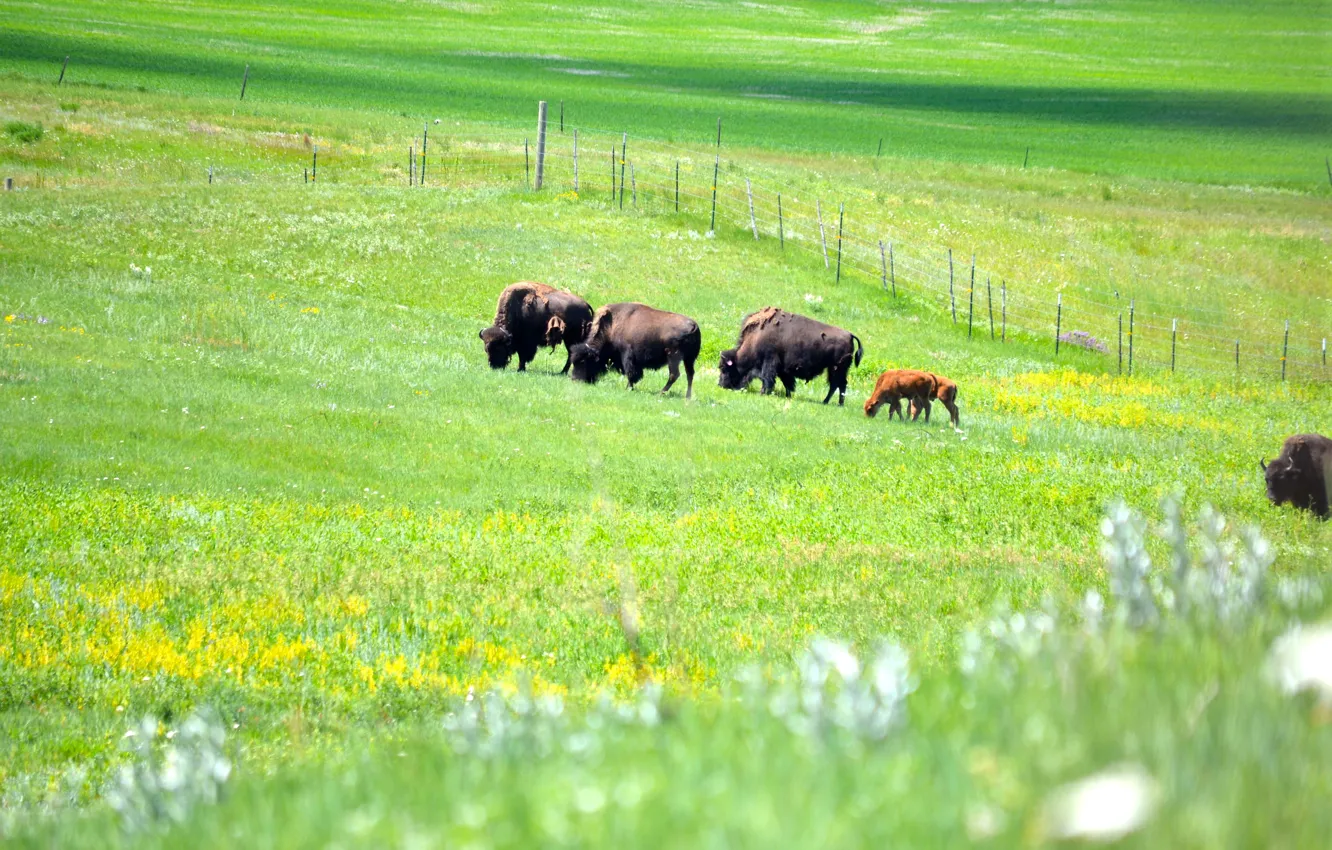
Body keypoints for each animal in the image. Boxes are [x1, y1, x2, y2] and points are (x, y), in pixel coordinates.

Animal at [568, 302, 701, 398]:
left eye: (583, 361)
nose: (574, 379)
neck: (611, 327)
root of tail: (693, 326)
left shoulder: (627, 355)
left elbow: (631, 373)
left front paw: (628, 388)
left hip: (673, 357)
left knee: (674, 374)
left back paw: (661, 393)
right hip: (689, 359)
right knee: (690, 374)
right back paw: (687, 397)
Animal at [717, 306, 863, 405]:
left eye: (724, 369)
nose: (721, 385)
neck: (756, 337)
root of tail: (850, 334)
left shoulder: (769, 362)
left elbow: (767, 379)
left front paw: (763, 393)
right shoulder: (783, 370)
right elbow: (787, 383)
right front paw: (788, 395)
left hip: (837, 368)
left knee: (838, 384)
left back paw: (834, 403)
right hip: (834, 369)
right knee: (837, 385)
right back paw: (828, 402)